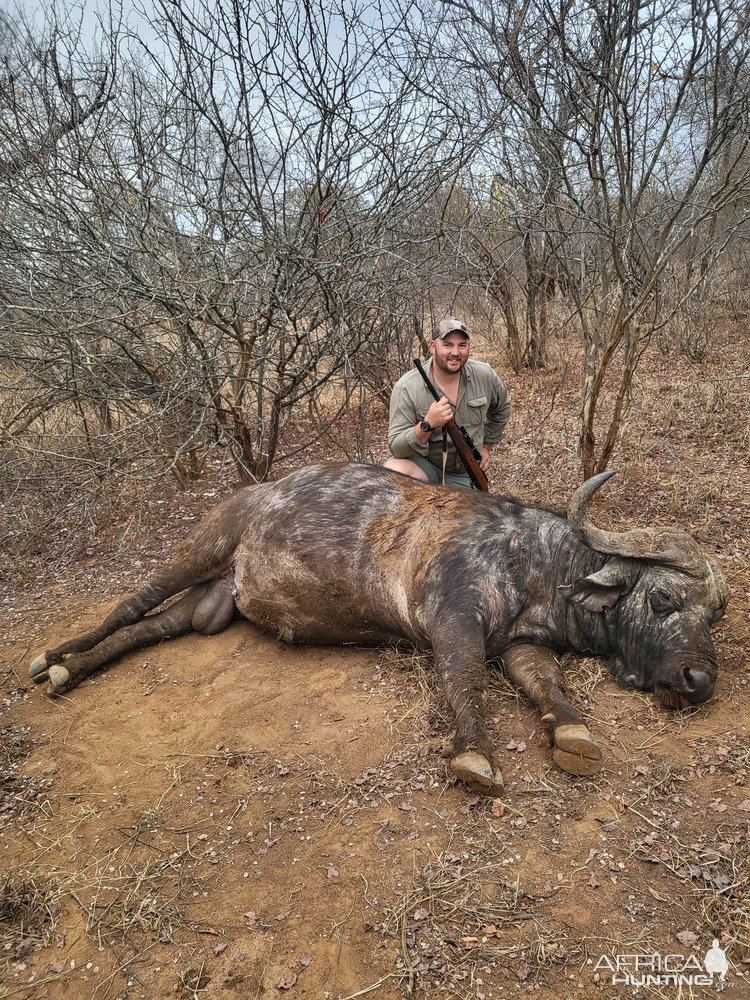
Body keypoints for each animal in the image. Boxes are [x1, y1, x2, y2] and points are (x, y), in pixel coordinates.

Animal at [29, 462, 728, 796]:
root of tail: (259, 493)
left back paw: (73, 668)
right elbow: (465, 680)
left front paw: (573, 731)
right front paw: (474, 751)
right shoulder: (452, 624)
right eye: (663, 598)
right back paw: (54, 659)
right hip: (200, 547)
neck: (535, 562)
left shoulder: (522, 646)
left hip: (211, 605)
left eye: (716, 614)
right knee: (126, 608)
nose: (700, 679)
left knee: (147, 629)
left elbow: (547, 686)